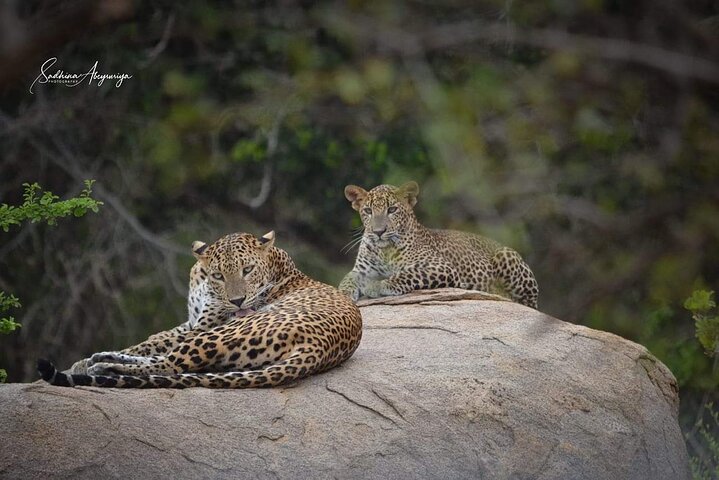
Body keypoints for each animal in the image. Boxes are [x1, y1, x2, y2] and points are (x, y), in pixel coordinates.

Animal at [39, 231, 363, 388]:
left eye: (247, 270)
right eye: (219, 275)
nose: (238, 302)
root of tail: (319, 349)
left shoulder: (206, 325)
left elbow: (159, 346)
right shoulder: (193, 322)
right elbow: (154, 340)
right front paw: (85, 359)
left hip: (226, 332)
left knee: (169, 365)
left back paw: (105, 366)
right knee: (169, 361)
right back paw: (100, 359)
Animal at [338, 181, 539, 309]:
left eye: (392, 210)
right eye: (368, 211)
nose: (378, 231)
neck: (385, 251)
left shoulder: (441, 267)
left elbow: (406, 274)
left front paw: (378, 286)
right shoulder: (361, 270)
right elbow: (347, 278)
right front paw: (343, 294)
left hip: (506, 257)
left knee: (529, 303)